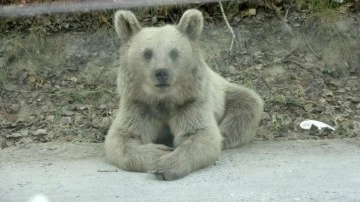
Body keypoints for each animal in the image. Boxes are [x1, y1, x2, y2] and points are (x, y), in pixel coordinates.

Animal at [104, 8, 264, 181]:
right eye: (147, 53)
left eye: (174, 52)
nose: (161, 72)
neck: (163, 99)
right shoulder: (139, 104)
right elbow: (121, 137)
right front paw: (158, 152)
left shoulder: (190, 102)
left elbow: (201, 135)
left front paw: (166, 165)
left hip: (226, 94)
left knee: (246, 106)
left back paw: (225, 134)